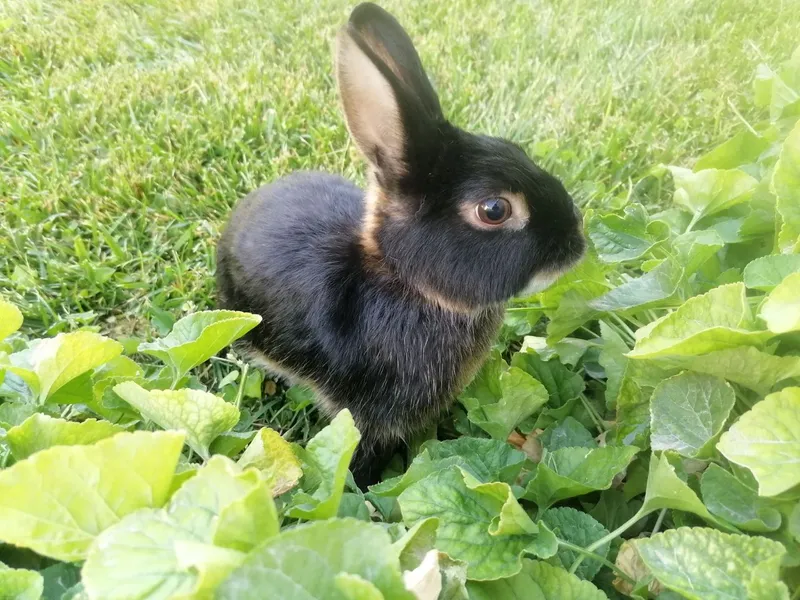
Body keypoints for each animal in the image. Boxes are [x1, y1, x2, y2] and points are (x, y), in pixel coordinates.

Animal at [216, 2, 586, 488]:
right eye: (494, 209)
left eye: (514, 147)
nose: (577, 241)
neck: (406, 284)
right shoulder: (367, 416)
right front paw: (366, 488)